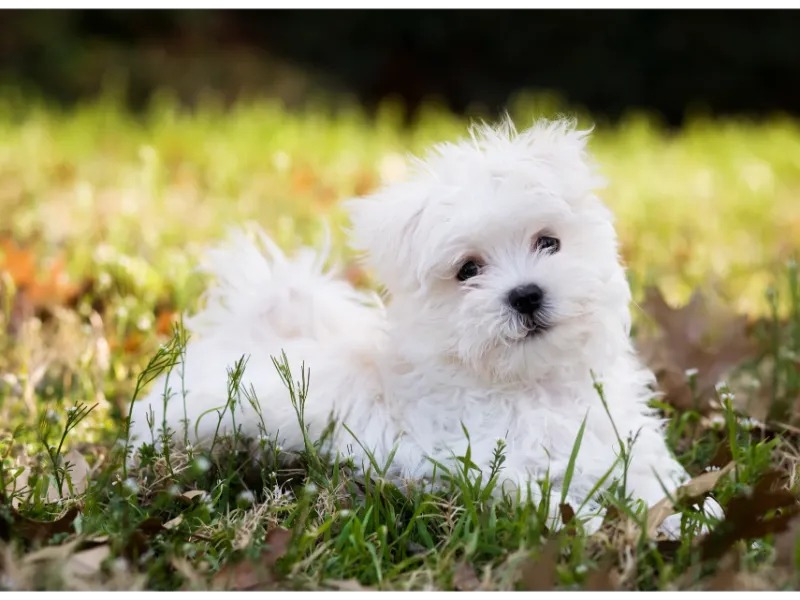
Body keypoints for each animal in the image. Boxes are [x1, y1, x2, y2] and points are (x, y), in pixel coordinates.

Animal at [128, 117, 716, 536]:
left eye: (548, 242)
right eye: (468, 271)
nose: (526, 295)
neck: (535, 383)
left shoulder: (624, 444)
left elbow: (654, 481)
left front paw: (698, 515)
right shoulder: (495, 471)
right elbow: (556, 501)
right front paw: (606, 528)